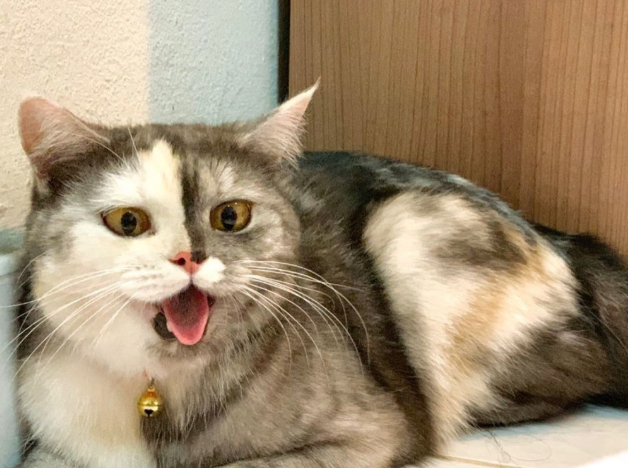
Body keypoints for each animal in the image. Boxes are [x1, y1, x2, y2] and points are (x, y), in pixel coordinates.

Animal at [13, 84, 628, 468]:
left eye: (230, 217)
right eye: (129, 222)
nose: (190, 258)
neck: (161, 394)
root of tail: (561, 239)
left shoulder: (369, 433)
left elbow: (237, 467)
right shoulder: (52, 443)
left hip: (409, 232)